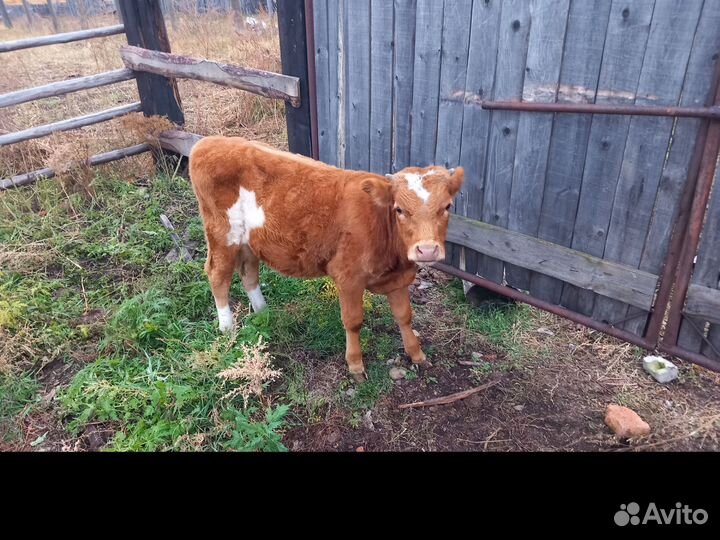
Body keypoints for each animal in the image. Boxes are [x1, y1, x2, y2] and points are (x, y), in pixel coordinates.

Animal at [188, 136, 464, 382]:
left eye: (447, 206)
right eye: (399, 209)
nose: (426, 250)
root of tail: (210, 141)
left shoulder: (398, 278)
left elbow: (405, 316)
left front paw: (417, 354)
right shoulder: (348, 277)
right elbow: (353, 321)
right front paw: (355, 365)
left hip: (249, 241)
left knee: (248, 272)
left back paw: (263, 313)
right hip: (222, 234)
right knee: (217, 274)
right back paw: (227, 327)